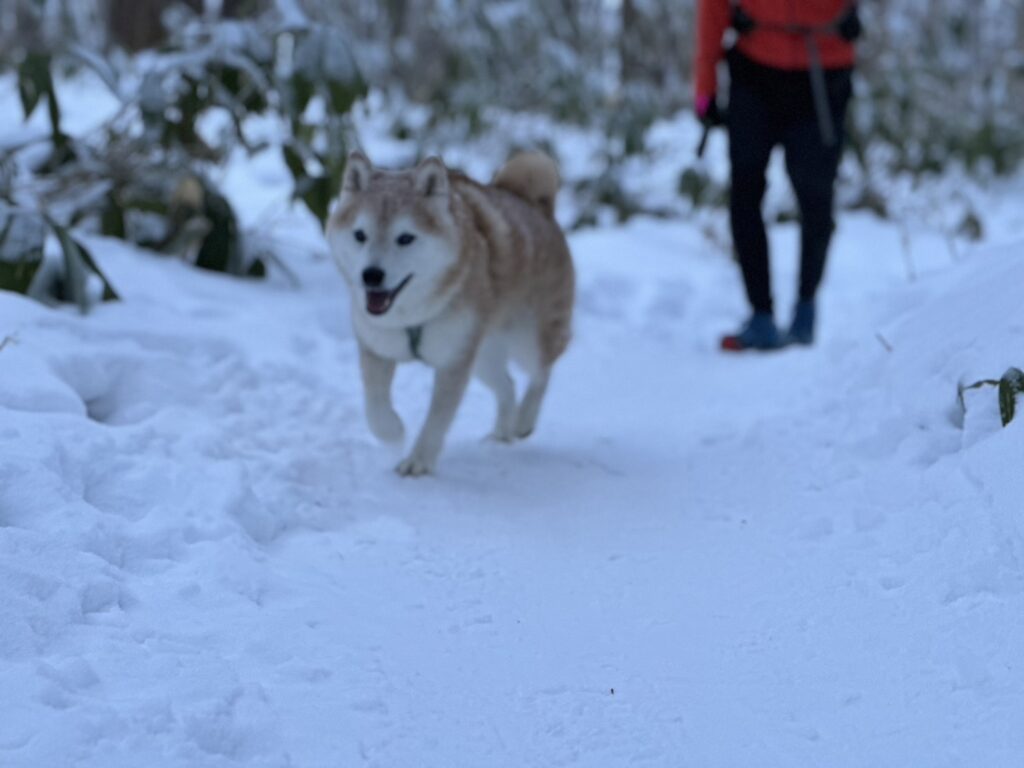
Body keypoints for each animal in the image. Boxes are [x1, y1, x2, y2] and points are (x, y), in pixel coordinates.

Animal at [325, 149, 573, 475]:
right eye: (360, 235)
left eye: (405, 238)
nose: (371, 275)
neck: (414, 316)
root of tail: (535, 204)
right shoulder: (377, 349)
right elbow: (375, 407)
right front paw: (394, 431)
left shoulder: (453, 362)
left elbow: (437, 418)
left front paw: (418, 461)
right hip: (483, 356)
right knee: (507, 385)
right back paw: (502, 432)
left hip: (526, 339)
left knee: (541, 373)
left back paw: (524, 420)